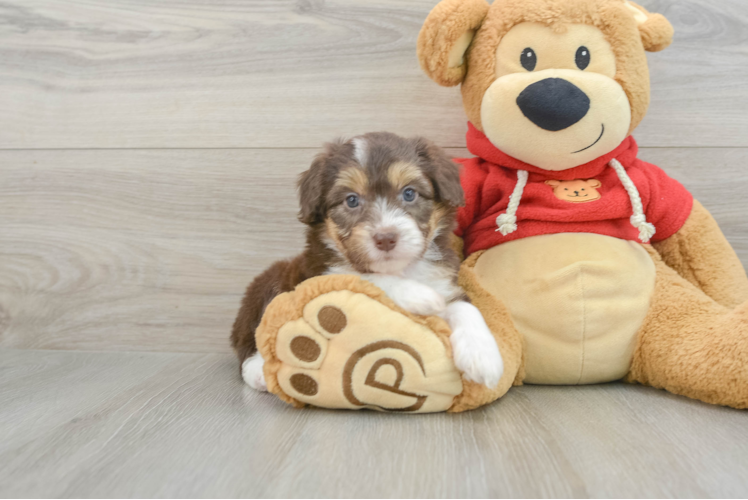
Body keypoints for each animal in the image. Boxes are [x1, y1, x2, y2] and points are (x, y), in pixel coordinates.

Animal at [232, 131, 502, 392]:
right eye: (351, 200)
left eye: (409, 193)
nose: (386, 238)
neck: (401, 269)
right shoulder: (321, 274)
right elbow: (367, 278)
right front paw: (419, 296)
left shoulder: (444, 282)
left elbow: (466, 308)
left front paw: (484, 357)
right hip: (269, 283)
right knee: (252, 337)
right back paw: (258, 371)